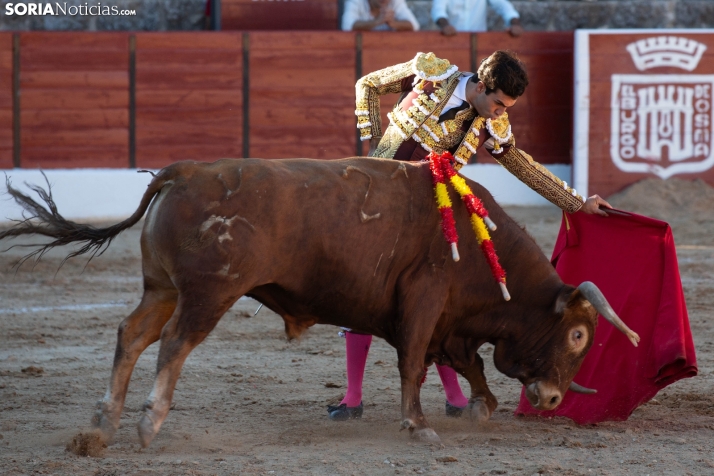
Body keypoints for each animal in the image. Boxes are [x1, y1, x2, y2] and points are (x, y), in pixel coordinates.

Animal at [0, 158, 636, 444]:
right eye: (579, 334)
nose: (552, 398)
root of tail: (185, 169)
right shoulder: (426, 299)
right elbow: (414, 362)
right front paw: (417, 424)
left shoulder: (448, 322)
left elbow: (466, 361)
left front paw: (479, 404)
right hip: (209, 293)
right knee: (176, 343)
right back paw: (147, 420)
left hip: (161, 287)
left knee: (132, 335)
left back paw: (102, 421)